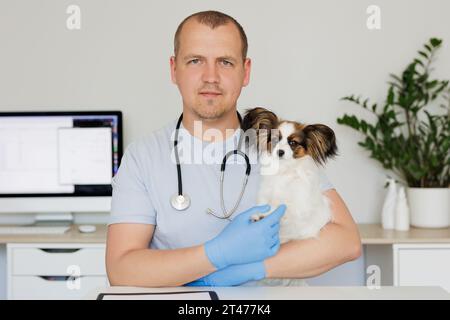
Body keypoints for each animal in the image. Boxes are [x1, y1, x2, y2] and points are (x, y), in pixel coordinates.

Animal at [243, 107, 338, 284]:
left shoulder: (298, 206)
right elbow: (266, 207)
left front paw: (268, 216)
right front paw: (259, 216)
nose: (280, 152)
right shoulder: (266, 194)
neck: (284, 170)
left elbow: (282, 210)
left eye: (293, 143)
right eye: (275, 139)